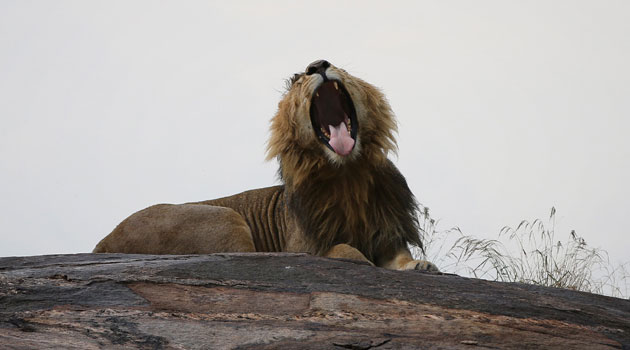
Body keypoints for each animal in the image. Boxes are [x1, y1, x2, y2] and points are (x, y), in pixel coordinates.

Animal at [94, 60, 440, 272]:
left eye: (338, 65)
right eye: (299, 78)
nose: (319, 64)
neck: (347, 174)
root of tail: (103, 241)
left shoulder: (387, 233)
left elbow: (400, 257)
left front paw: (421, 265)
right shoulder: (302, 246)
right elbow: (344, 250)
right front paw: (363, 262)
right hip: (224, 217)